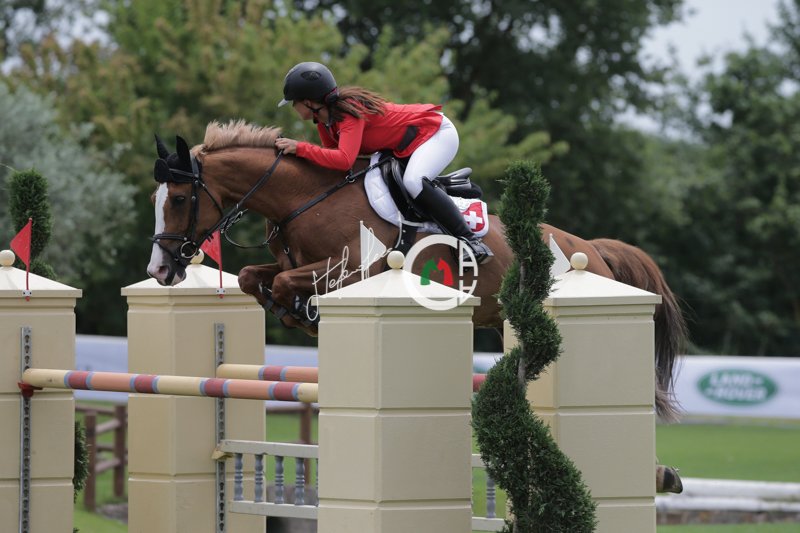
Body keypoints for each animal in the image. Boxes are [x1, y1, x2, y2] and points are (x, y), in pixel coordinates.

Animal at [146, 119, 686, 422]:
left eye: (179, 199)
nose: (161, 269)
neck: (305, 199)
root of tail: (588, 248)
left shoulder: (355, 270)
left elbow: (282, 282)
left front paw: (301, 310)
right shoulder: (291, 262)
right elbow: (252, 278)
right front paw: (293, 311)